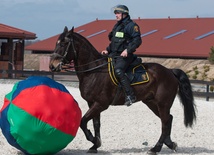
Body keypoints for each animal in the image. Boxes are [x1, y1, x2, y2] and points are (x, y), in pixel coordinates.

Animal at [49, 27, 196, 155]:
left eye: (64, 43)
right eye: (57, 43)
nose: (52, 65)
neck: (94, 71)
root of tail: (170, 71)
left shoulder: (101, 104)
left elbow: (83, 121)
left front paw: (94, 140)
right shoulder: (92, 103)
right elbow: (96, 124)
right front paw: (95, 145)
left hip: (162, 104)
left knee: (165, 122)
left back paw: (156, 148)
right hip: (152, 103)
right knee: (168, 119)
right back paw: (170, 144)